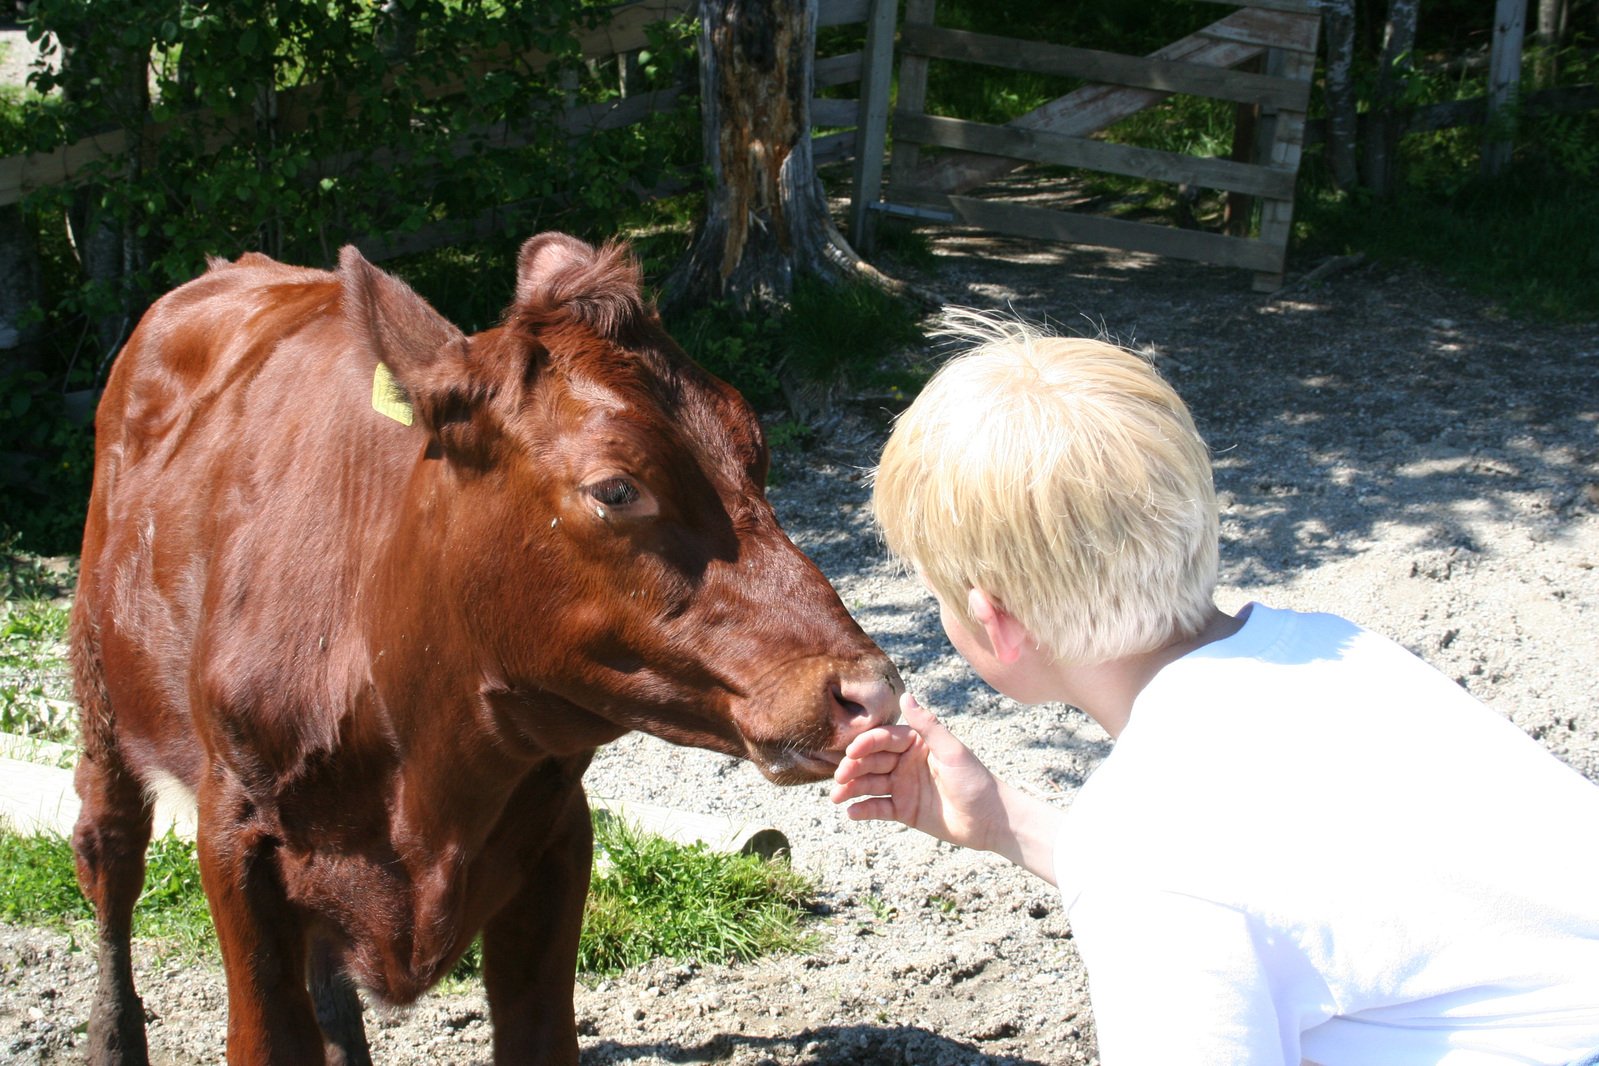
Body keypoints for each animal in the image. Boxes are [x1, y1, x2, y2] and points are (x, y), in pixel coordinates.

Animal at [68, 234, 908, 1066]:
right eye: (615, 489)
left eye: (756, 452)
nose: (867, 691)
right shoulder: (234, 832)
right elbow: (266, 1034)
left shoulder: (557, 832)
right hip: (100, 683)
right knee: (109, 851)